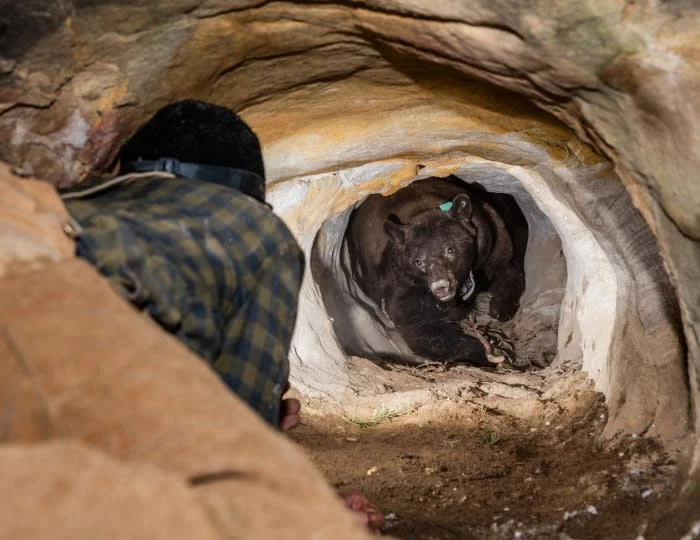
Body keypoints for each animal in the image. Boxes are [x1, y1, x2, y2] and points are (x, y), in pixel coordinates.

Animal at [345, 176, 528, 366]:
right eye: (418, 261)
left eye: (450, 250)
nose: (441, 287)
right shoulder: (402, 283)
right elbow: (419, 325)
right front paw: (485, 352)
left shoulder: (489, 241)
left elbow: (506, 266)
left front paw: (502, 308)